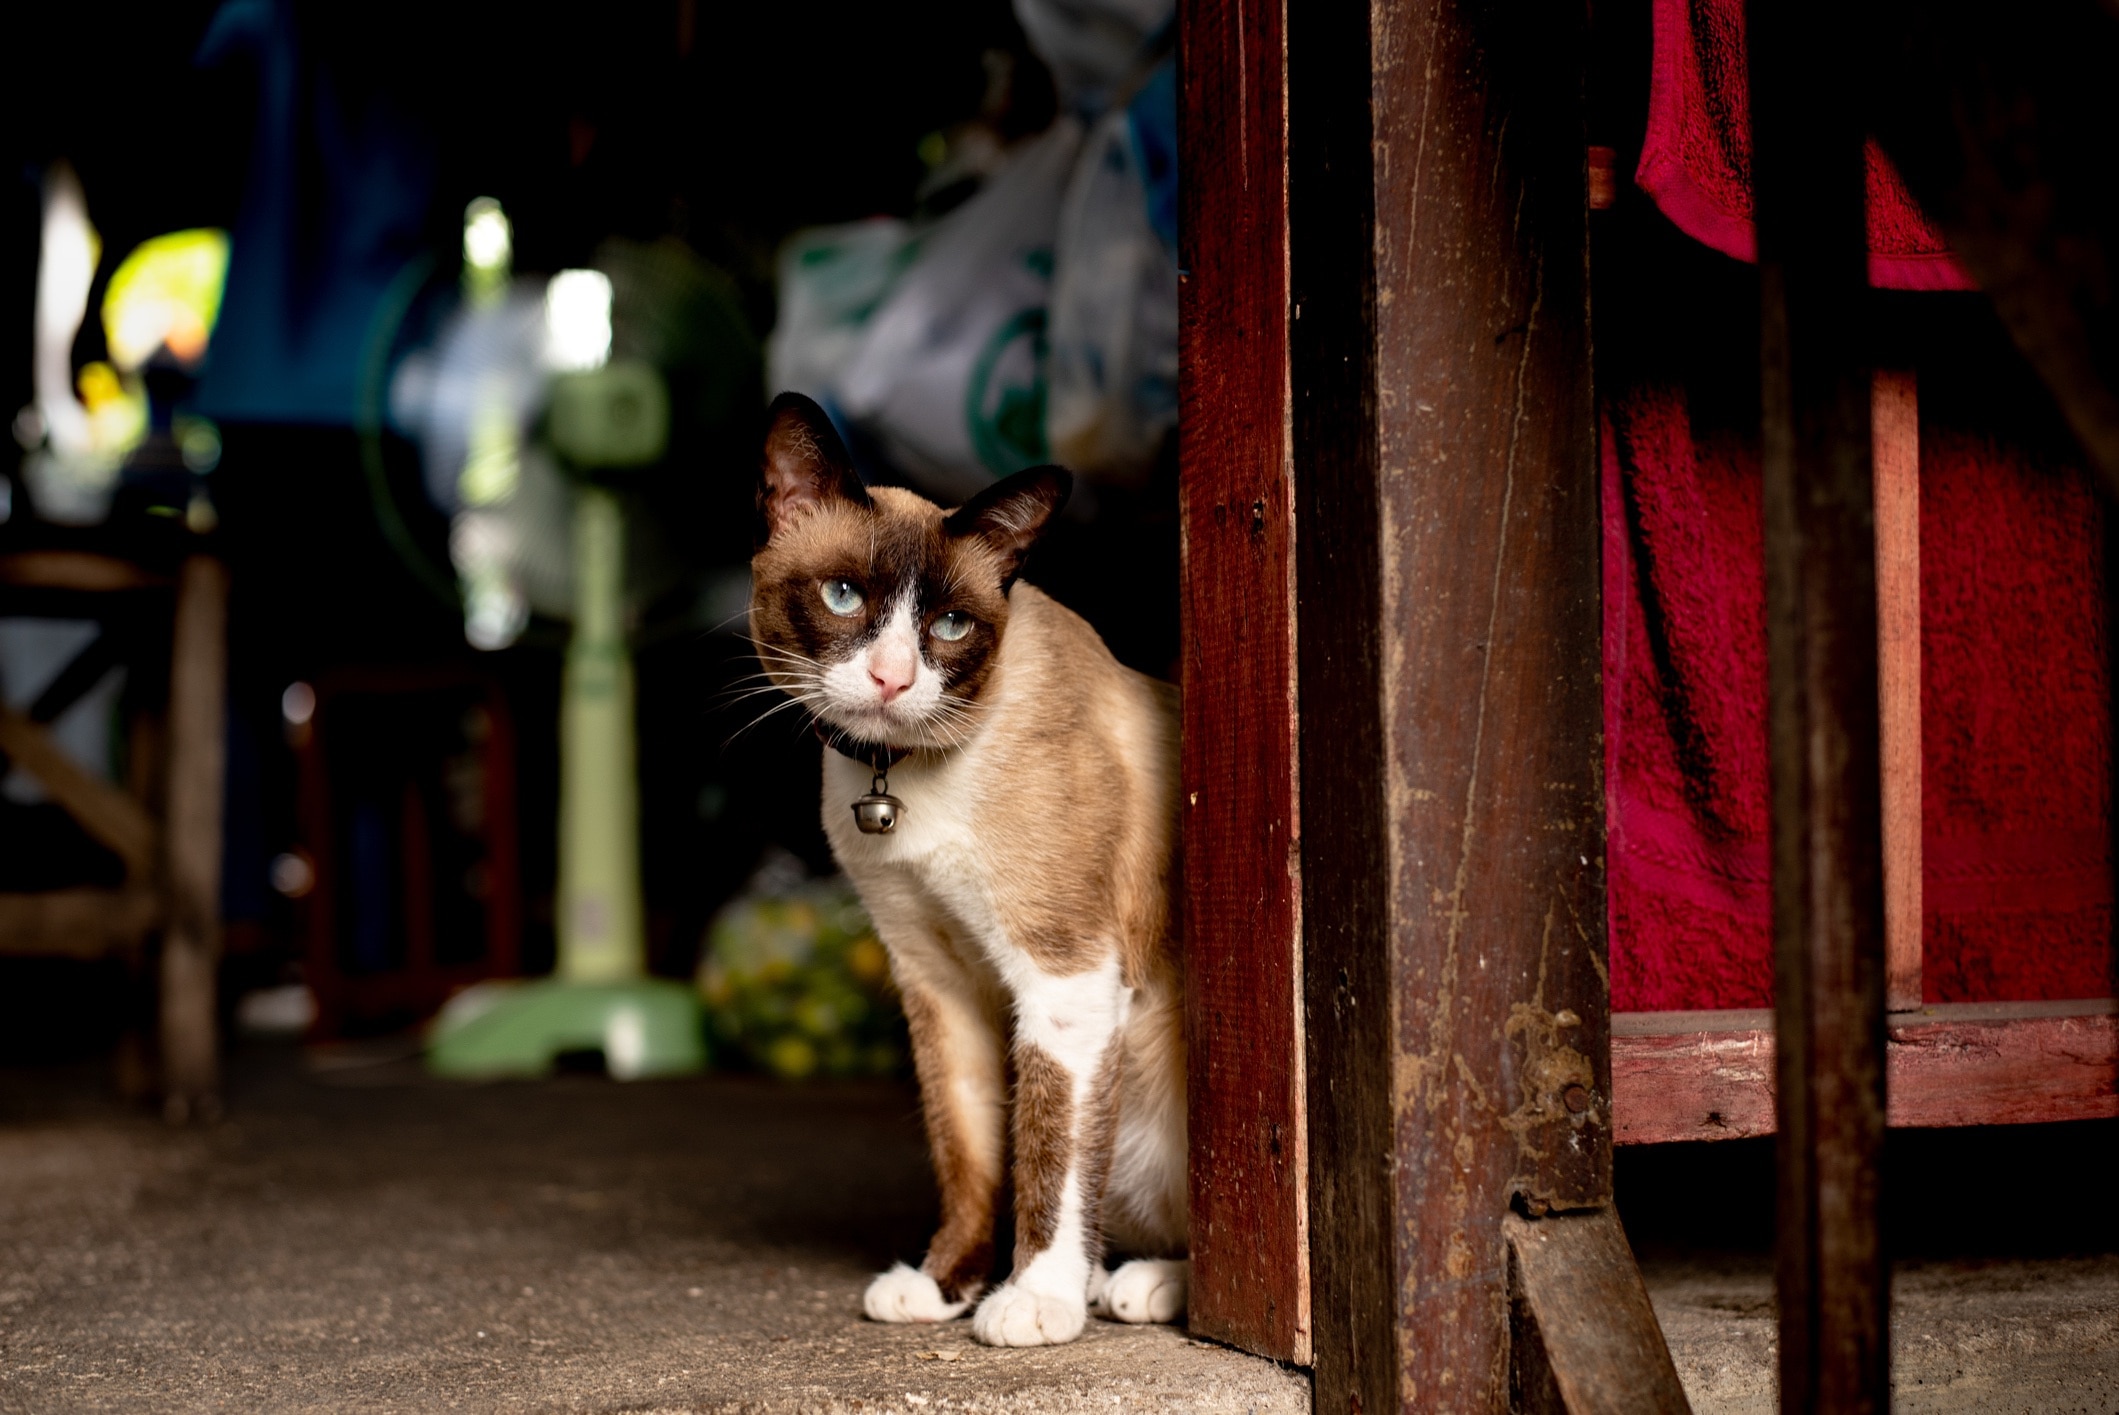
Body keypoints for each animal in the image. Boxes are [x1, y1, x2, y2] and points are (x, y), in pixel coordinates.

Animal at [745, 391, 1186, 1347]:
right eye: (842, 596)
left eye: (949, 626)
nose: (890, 677)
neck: (896, 779)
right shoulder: (939, 980)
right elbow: (970, 1150)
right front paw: (946, 1285)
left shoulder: (1063, 977)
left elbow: (1049, 1154)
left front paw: (1035, 1301)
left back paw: (1138, 1286)